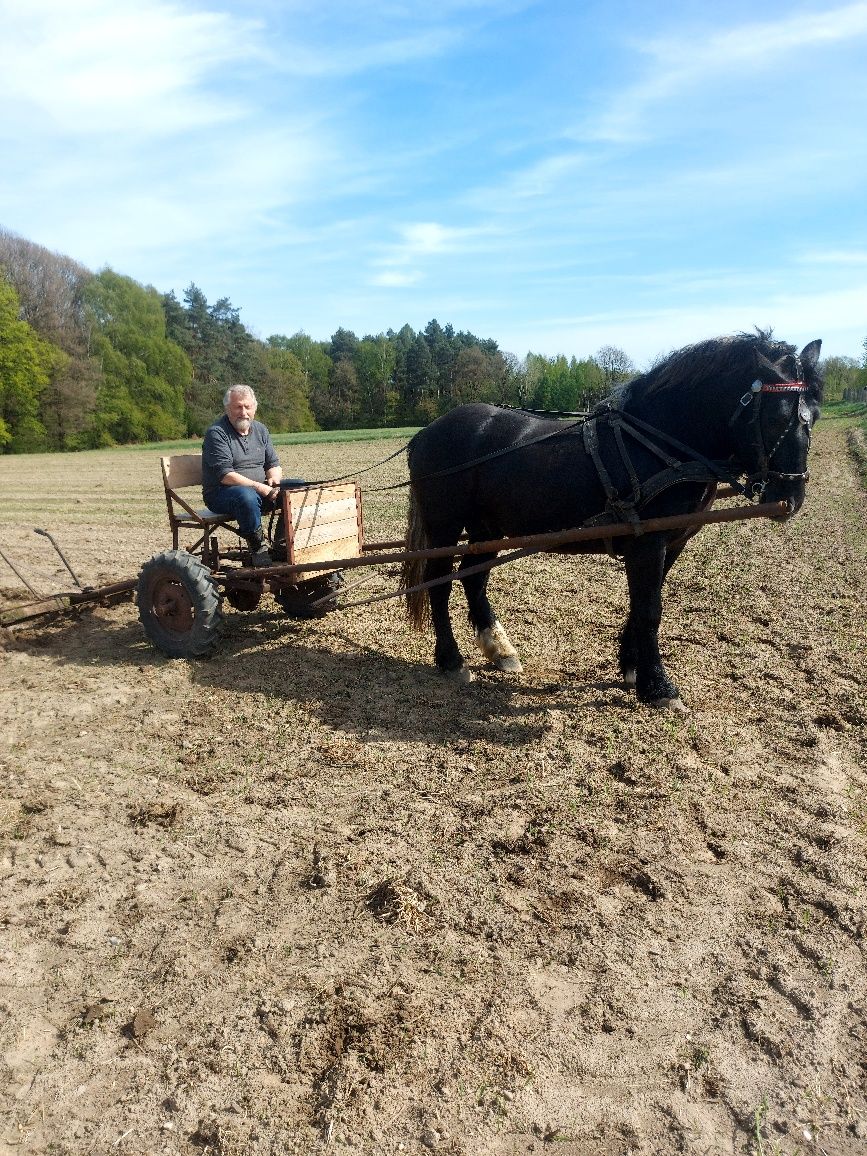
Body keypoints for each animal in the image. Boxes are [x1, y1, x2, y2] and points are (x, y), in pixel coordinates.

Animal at [404, 330, 823, 707]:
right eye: (775, 418)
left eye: (814, 416)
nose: (791, 497)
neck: (661, 443)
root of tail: (426, 432)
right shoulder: (647, 543)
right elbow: (650, 610)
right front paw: (659, 687)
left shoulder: (670, 542)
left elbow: (643, 605)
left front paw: (633, 668)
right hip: (444, 526)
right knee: (439, 583)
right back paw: (451, 660)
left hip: (487, 527)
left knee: (473, 576)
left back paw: (499, 649)